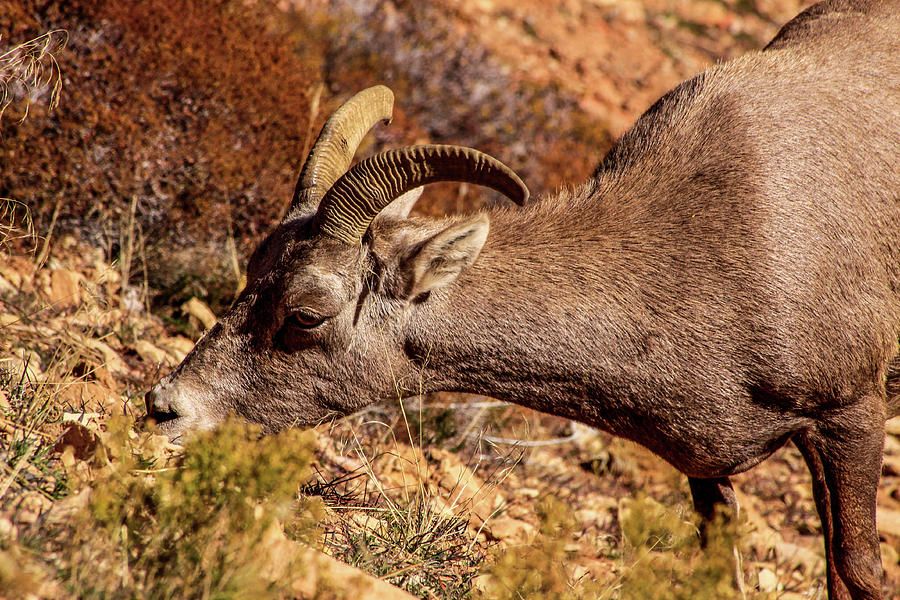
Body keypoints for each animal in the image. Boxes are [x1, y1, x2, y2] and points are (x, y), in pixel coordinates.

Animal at [148, 2, 900, 596]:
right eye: (253, 267)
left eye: (307, 315)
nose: (164, 409)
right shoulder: (710, 470)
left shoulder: (850, 418)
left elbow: (858, 572)